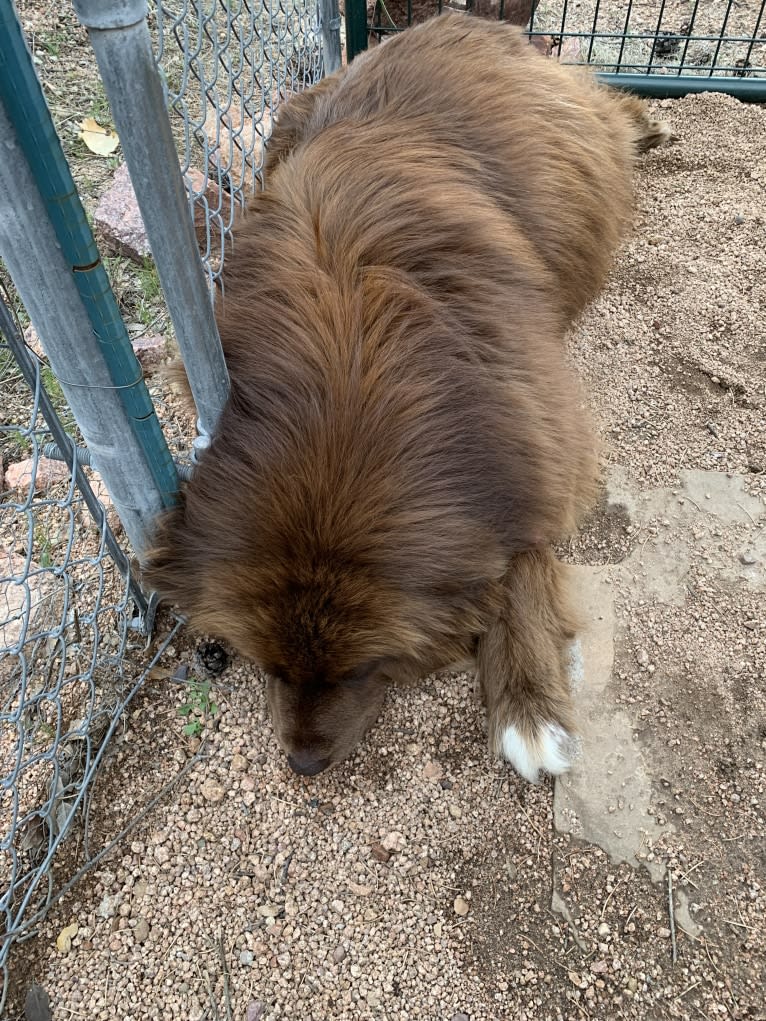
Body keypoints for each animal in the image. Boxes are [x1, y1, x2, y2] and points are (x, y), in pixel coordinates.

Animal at [144, 13, 669, 780]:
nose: (304, 764)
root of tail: (460, 18)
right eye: (267, 666)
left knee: (610, 110)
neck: (347, 374)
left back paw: (650, 122)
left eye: (362, 670)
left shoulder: (539, 444)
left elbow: (523, 562)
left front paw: (529, 703)